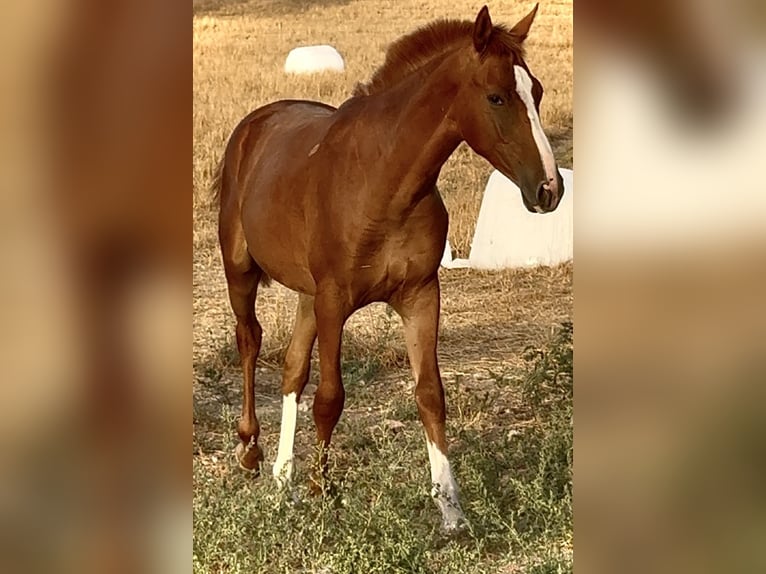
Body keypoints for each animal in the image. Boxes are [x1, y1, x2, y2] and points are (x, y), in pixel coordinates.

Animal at [213, 4, 564, 532]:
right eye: (497, 96)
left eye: (537, 91)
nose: (549, 190)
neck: (384, 182)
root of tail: (253, 124)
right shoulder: (335, 300)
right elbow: (330, 397)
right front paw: (321, 492)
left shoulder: (420, 294)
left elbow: (430, 394)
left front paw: (451, 510)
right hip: (241, 271)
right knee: (250, 343)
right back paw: (251, 452)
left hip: (307, 296)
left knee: (292, 368)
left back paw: (281, 478)